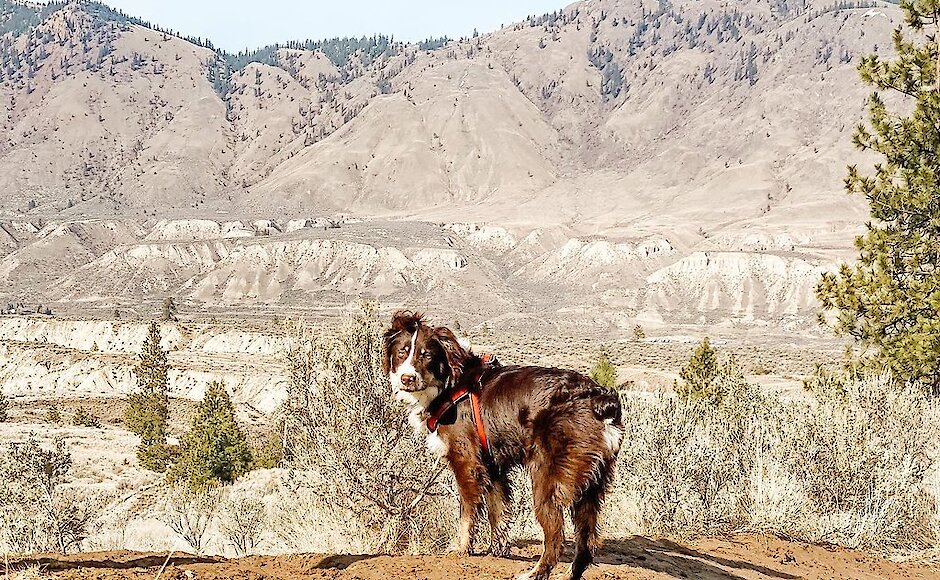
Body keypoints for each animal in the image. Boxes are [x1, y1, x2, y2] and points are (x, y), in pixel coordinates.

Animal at [384, 312, 624, 580]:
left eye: (427, 355)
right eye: (402, 352)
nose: (407, 378)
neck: (450, 383)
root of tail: (600, 399)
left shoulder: (467, 463)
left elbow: (467, 514)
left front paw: (460, 549)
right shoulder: (492, 466)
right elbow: (497, 511)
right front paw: (496, 550)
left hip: (548, 479)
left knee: (555, 536)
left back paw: (535, 573)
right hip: (592, 483)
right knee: (586, 541)